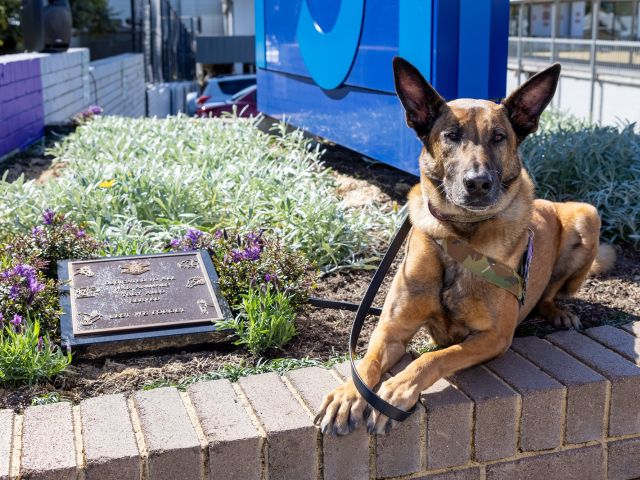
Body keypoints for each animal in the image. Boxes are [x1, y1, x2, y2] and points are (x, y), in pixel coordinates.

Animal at [316, 57, 616, 436]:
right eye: (451, 136)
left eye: (498, 137)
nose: (478, 183)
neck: (460, 233)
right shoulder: (391, 329)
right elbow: (366, 360)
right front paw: (346, 394)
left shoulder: (494, 337)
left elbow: (436, 356)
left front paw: (399, 386)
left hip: (587, 215)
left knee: (550, 294)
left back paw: (558, 312)